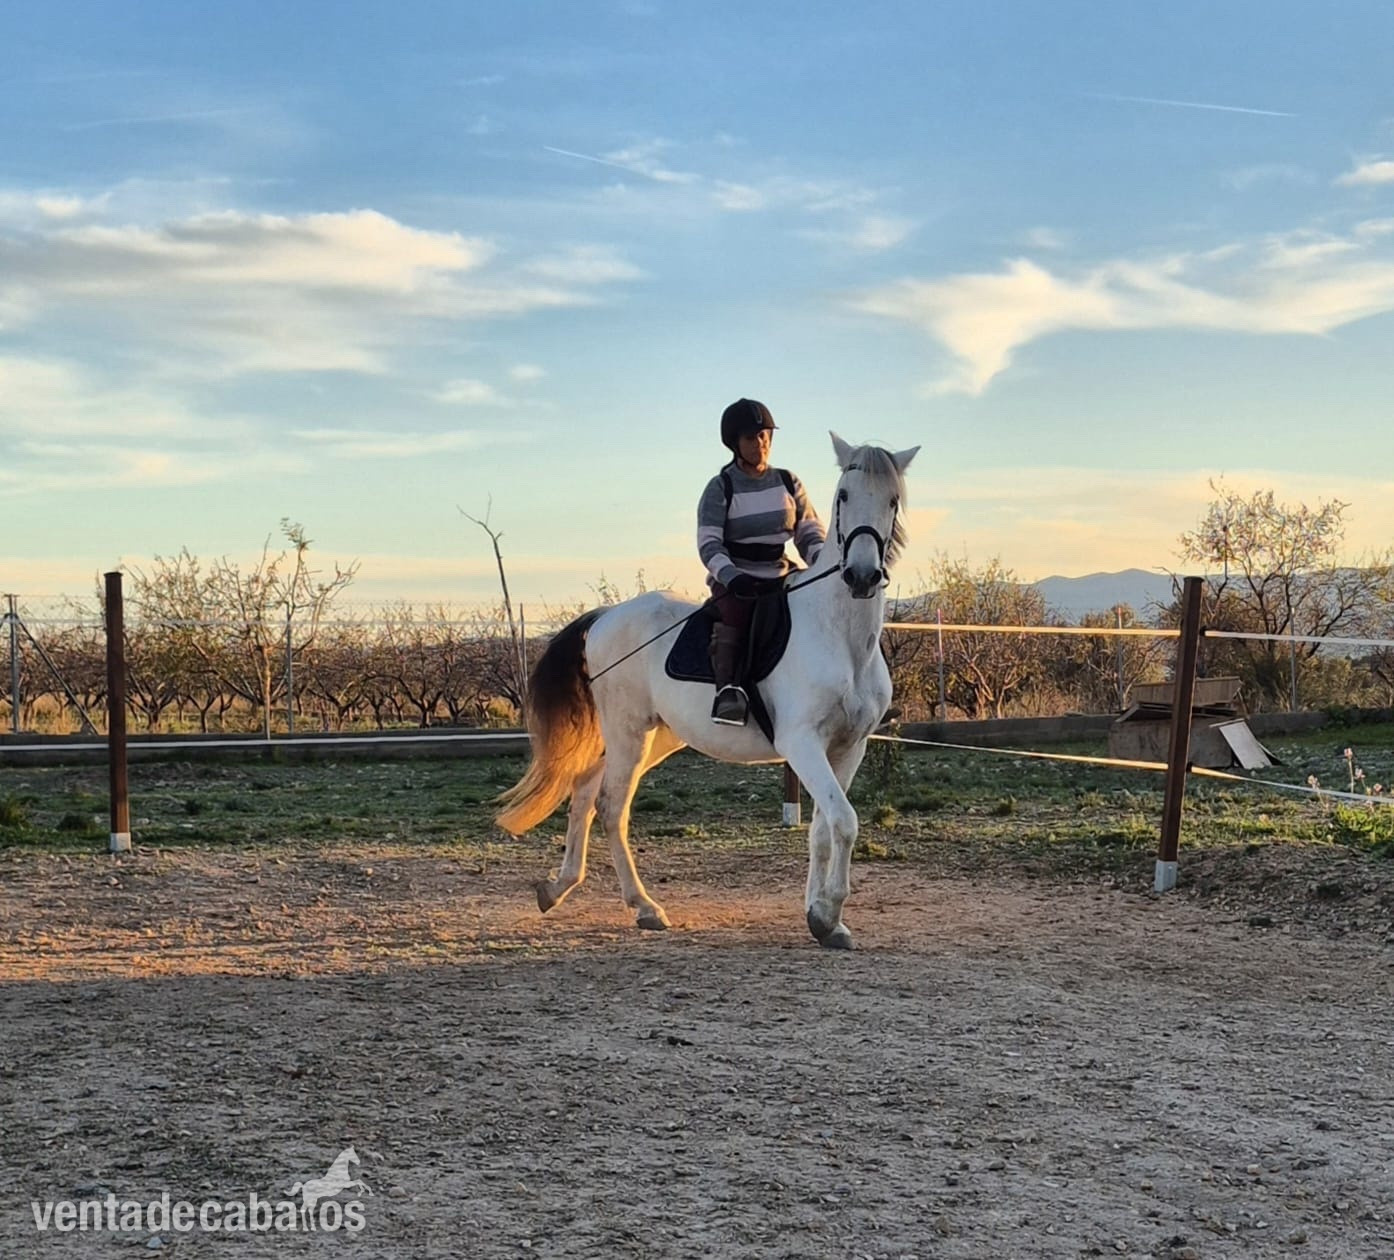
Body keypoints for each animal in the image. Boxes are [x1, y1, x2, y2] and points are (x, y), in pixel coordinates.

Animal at [496, 432, 918, 949]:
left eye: (893, 500)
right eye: (843, 496)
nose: (861, 576)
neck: (841, 635)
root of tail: (606, 616)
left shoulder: (849, 747)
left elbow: (824, 827)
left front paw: (822, 916)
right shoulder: (801, 744)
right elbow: (844, 820)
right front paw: (828, 915)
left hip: (653, 738)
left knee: (583, 792)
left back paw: (558, 888)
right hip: (630, 734)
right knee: (611, 806)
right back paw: (645, 907)